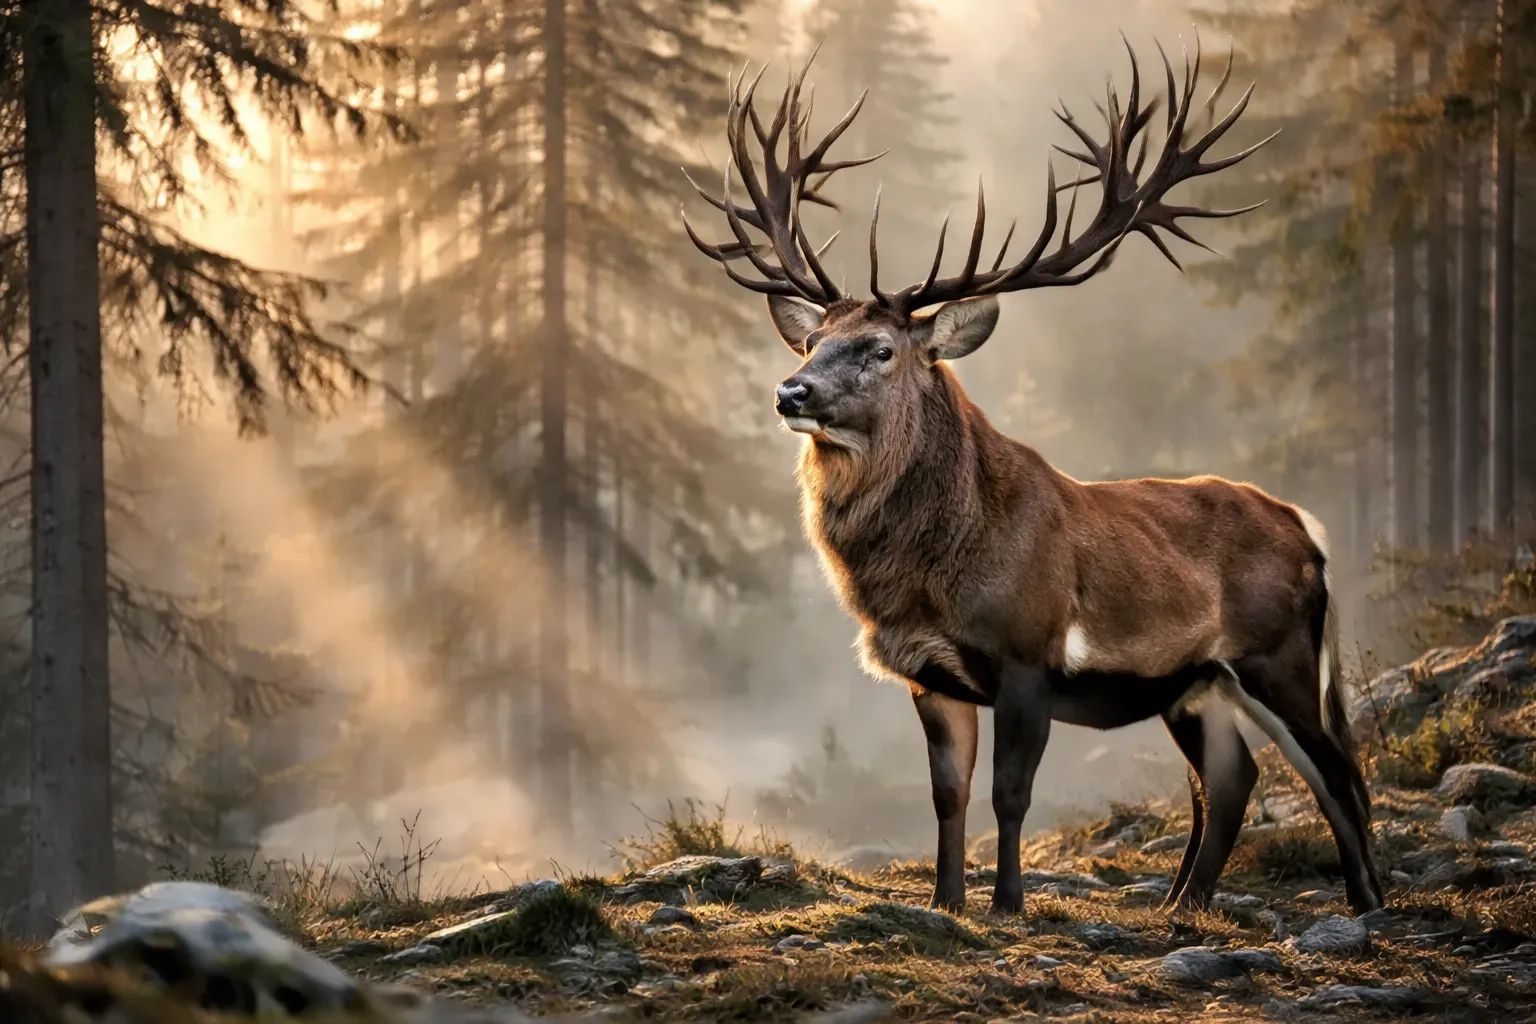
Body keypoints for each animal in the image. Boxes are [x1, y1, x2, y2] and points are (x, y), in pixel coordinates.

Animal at [679, 36, 1385, 918]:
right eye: (810, 343)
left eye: (881, 348)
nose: (790, 393)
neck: (924, 578)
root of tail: (1307, 528)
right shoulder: (932, 675)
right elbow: (948, 795)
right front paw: (947, 904)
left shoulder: (1028, 653)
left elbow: (1009, 794)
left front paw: (1008, 905)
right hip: (1196, 683)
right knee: (1233, 777)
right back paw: (1179, 906)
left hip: (1277, 651)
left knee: (1338, 771)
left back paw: (1367, 903)